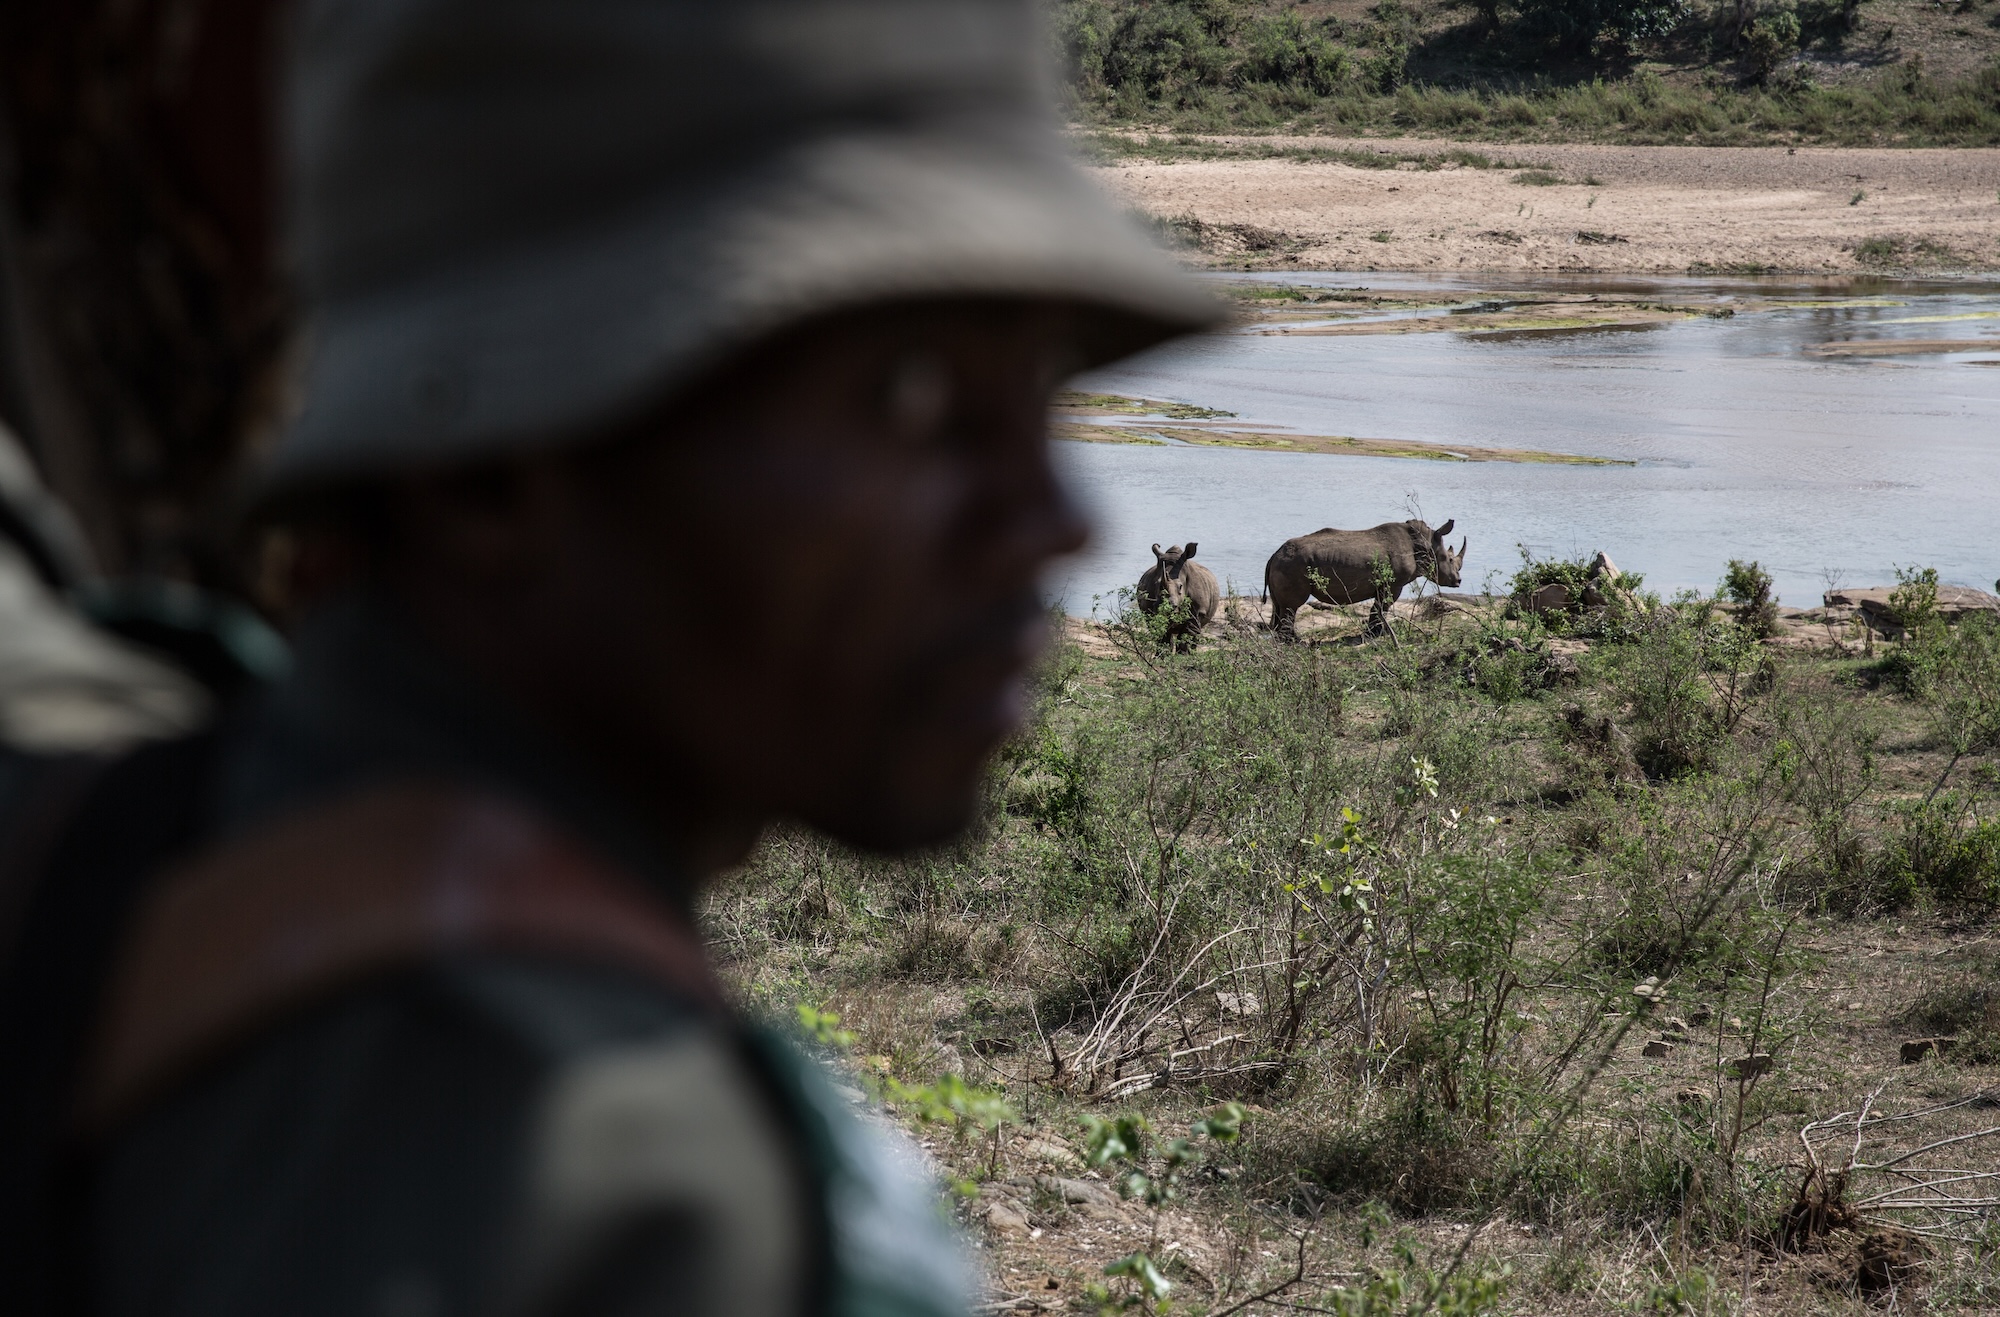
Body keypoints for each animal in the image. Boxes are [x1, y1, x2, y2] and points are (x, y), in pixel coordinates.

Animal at [1264, 516, 1472, 640]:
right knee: (1292, 606)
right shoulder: (1393, 584)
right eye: (1449, 559)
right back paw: (1294, 642)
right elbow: (1382, 607)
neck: (1424, 543)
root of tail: (1274, 555)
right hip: (1292, 565)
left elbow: (1377, 608)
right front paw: (1377, 634)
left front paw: (1373, 633)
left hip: (1285, 564)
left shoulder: (1386, 584)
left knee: (1280, 606)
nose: (1458, 581)